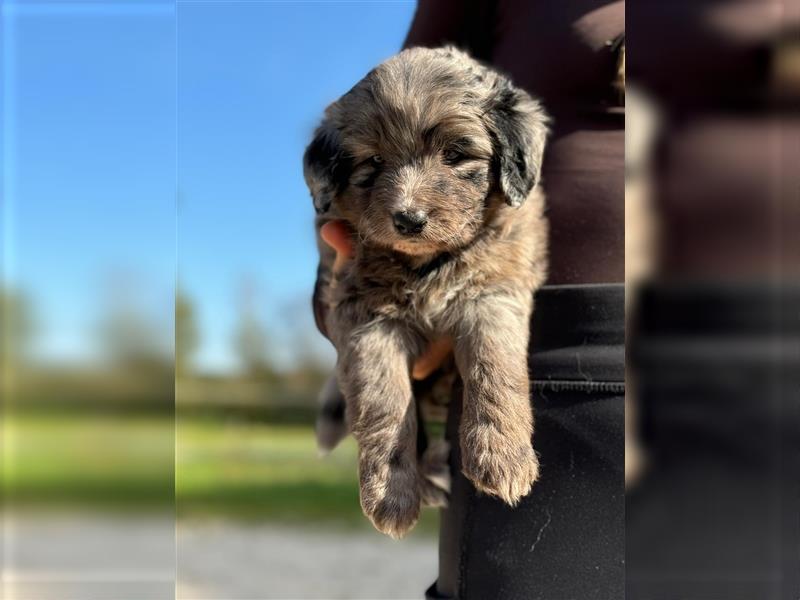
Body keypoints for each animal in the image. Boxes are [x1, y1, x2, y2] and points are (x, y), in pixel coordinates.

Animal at [304, 44, 548, 536]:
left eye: (455, 154)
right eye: (374, 162)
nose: (408, 219)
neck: (426, 263)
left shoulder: (493, 291)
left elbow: (494, 362)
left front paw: (502, 454)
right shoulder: (366, 318)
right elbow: (384, 400)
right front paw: (392, 494)